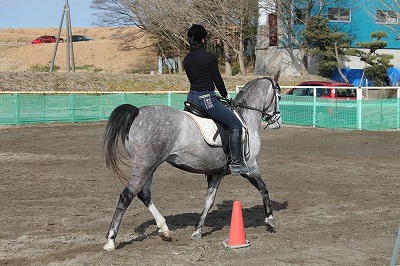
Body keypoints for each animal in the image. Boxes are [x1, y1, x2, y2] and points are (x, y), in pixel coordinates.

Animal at [104, 76, 284, 250]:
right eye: (279, 97)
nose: (278, 122)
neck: (245, 117)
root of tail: (137, 112)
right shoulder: (250, 166)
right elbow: (263, 188)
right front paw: (270, 219)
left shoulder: (216, 172)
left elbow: (209, 200)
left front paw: (197, 230)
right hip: (145, 166)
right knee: (126, 196)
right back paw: (111, 240)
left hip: (149, 167)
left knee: (144, 194)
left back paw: (164, 229)